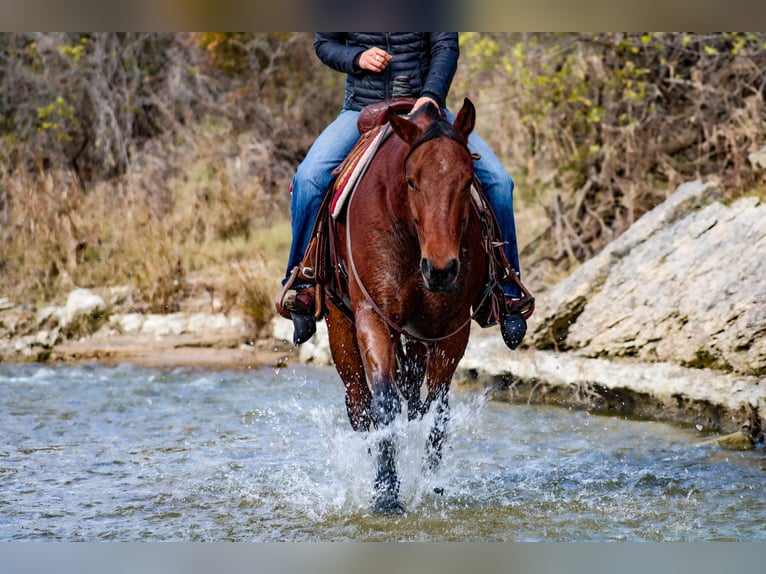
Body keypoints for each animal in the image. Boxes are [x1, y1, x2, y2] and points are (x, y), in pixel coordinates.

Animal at [326, 99, 486, 516]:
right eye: (412, 181)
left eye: (468, 181)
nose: (441, 270)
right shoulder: (372, 316)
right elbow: (383, 404)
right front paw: (386, 494)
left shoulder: (453, 329)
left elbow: (436, 411)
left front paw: (429, 486)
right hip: (340, 328)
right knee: (359, 403)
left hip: (416, 340)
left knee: (414, 402)